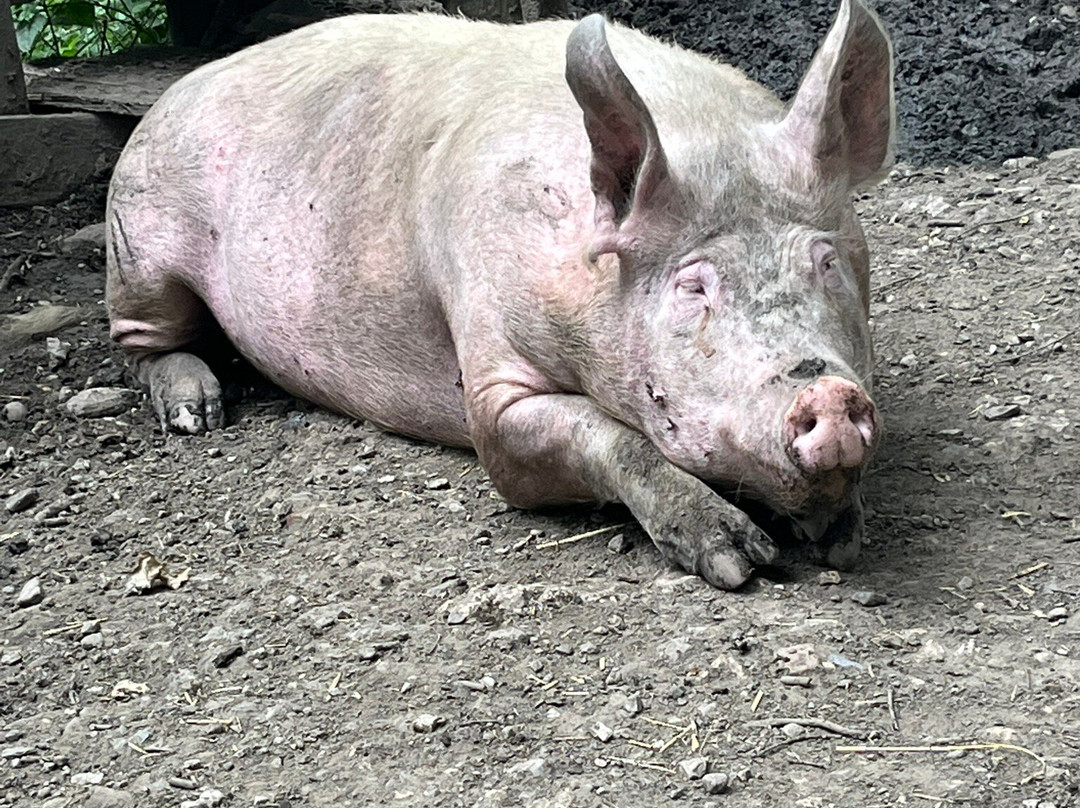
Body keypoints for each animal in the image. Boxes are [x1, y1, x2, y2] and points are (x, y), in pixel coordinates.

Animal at [105, 0, 894, 589]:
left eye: (826, 262)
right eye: (694, 285)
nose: (827, 395)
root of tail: (177, 88)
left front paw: (840, 542)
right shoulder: (489, 379)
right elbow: (592, 440)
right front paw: (740, 562)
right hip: (140, 244)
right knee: (144, 343)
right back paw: (196, 413)